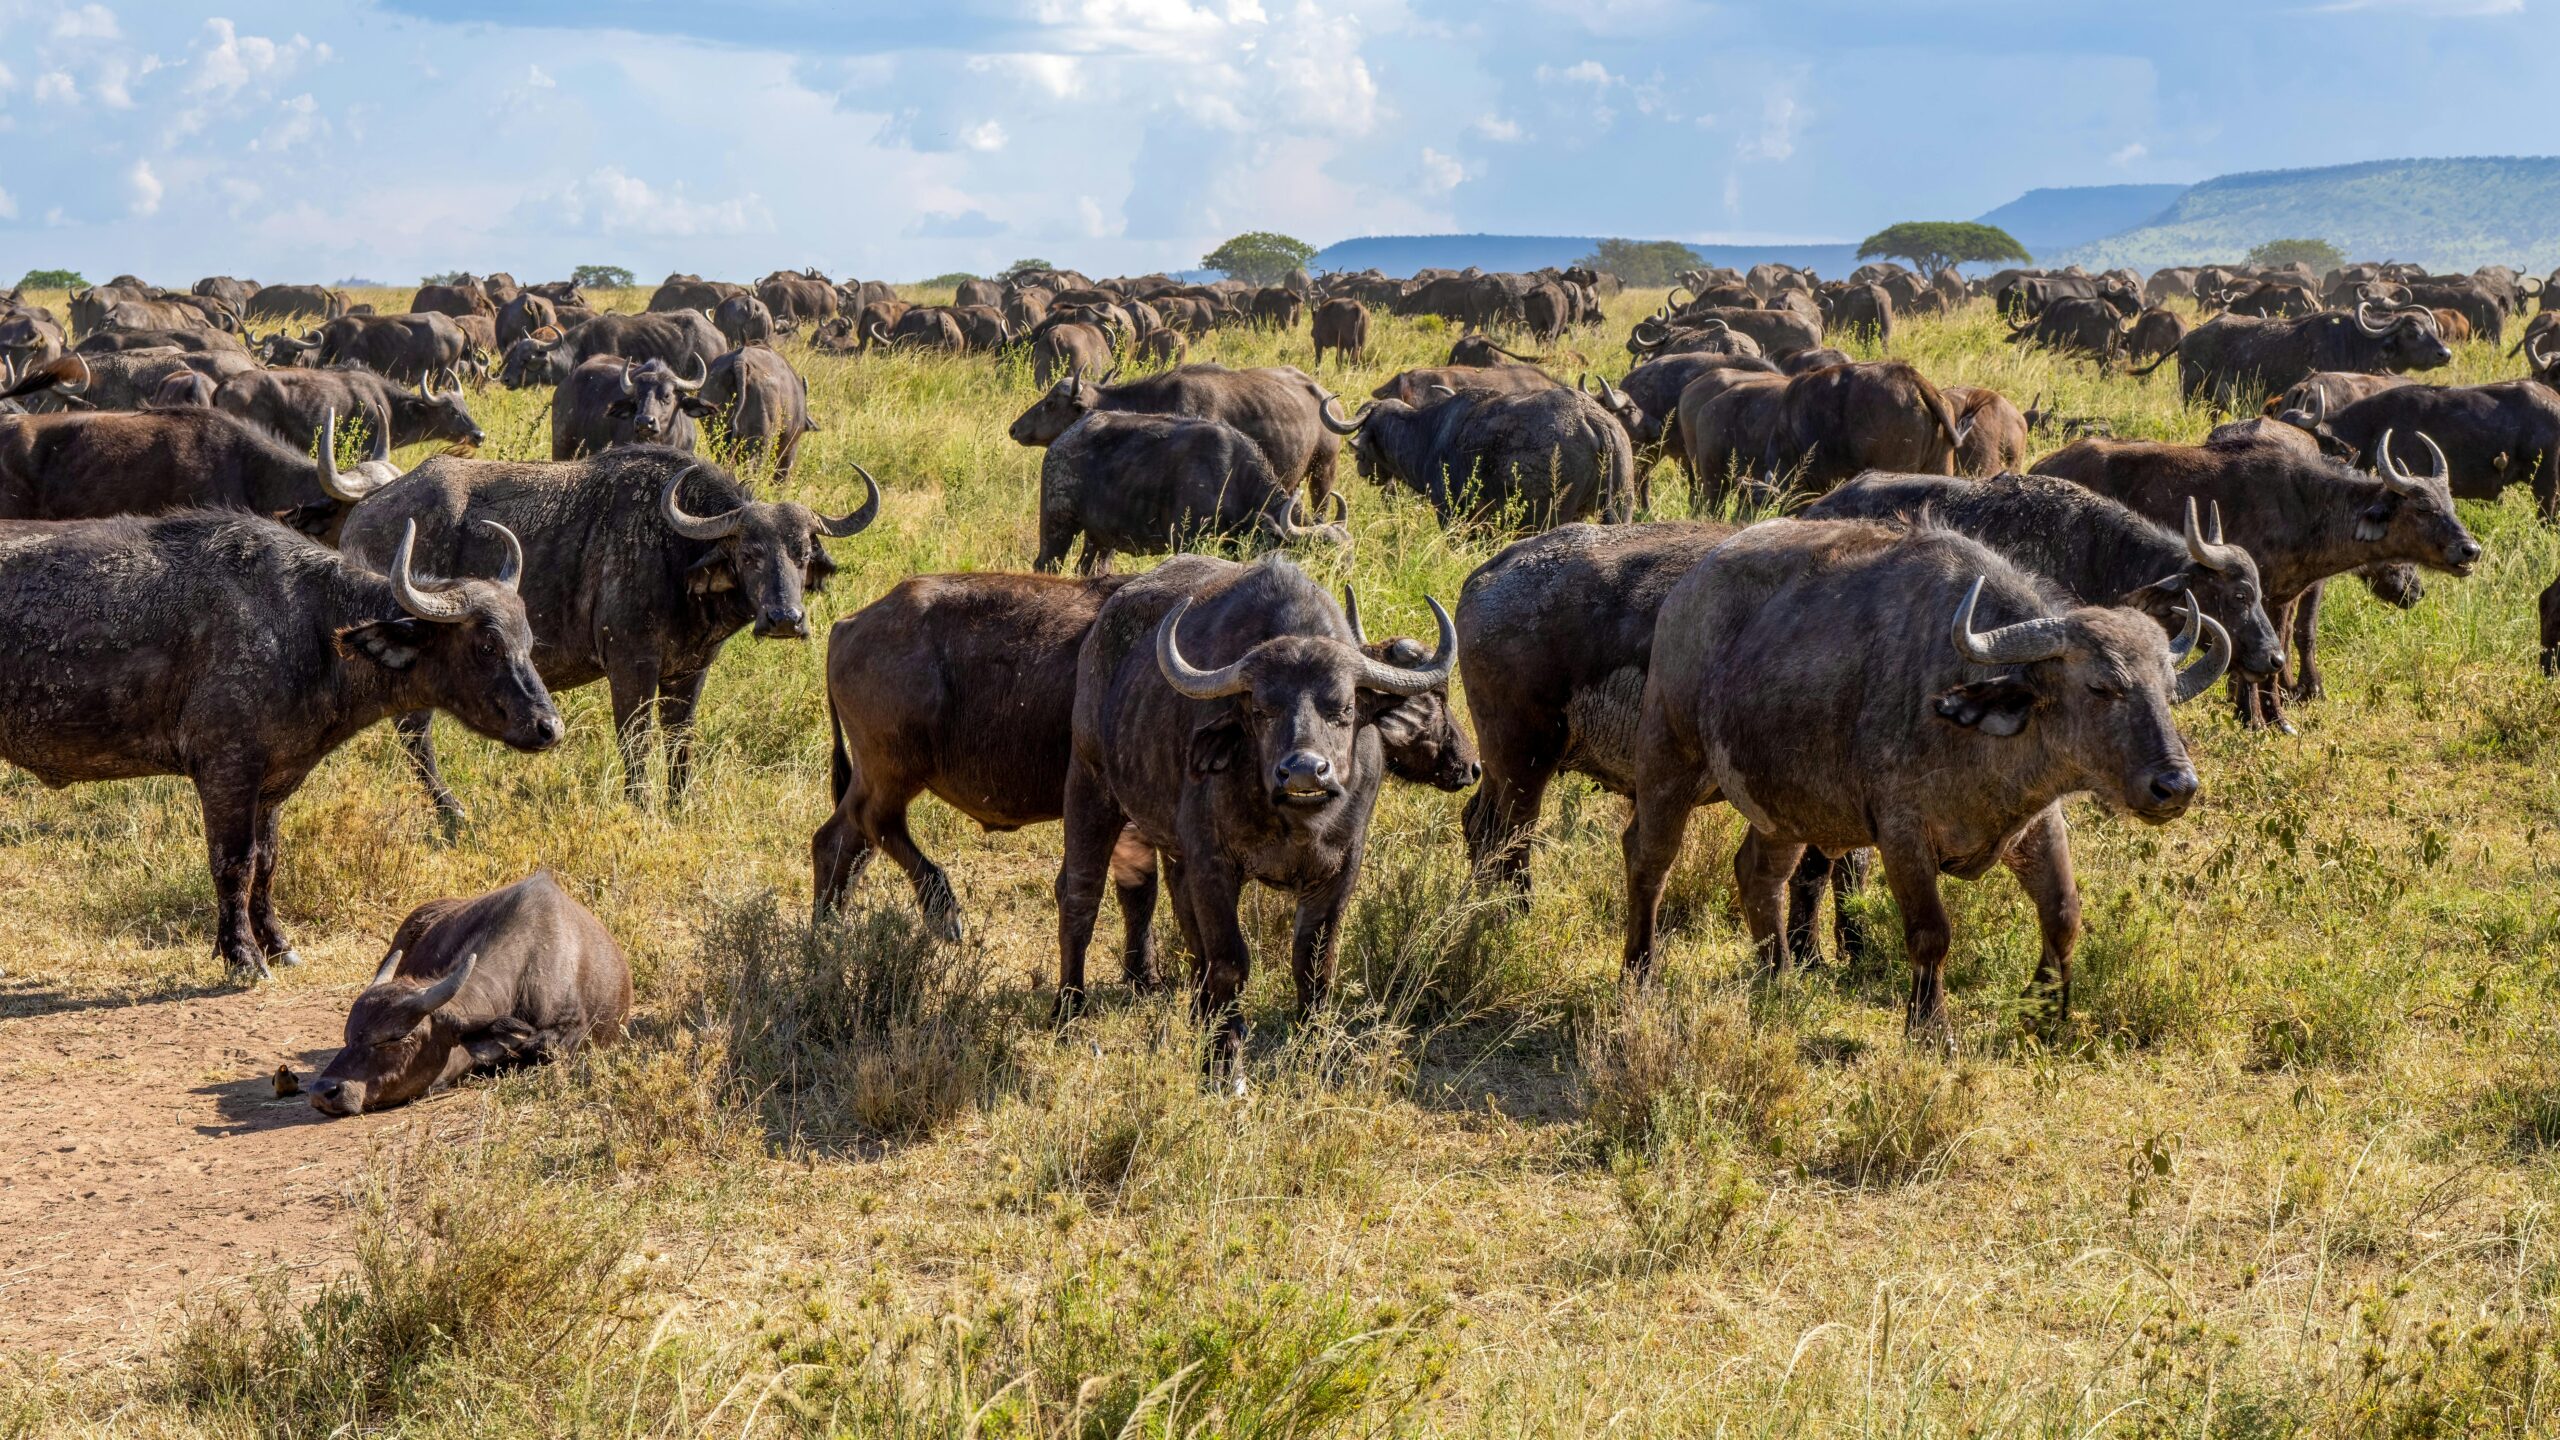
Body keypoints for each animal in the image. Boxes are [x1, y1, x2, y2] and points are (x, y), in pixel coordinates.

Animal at [340, 448, 885, 809]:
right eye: (749, 553)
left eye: (802, 554)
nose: (784, 619)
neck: (673, 553)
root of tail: (364, 511)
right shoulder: (630, 666)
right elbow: (636, 741)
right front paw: (641, 806)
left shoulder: (690, 670)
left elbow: (680, 741)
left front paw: (679, 806)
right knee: (415, 733)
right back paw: (450, 810)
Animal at [1029, 409, 1351, 571]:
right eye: (1322, 558)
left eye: (1349, 558)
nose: (1342, 580)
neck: (1232, 476)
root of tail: (1062, 440)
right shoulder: (1187, 542)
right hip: (1058, 524)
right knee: (1047, 564)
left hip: (1101, 538)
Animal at [1059, 558, 1464, 1076]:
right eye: (1261, 709)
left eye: (1344, 707)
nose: (1305, 771)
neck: (1295, 822)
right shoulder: (1213, 863)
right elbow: (1230, 958)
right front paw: (1224, 1057)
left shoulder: (1341, 867)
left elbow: (1314, 962)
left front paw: (1315, 1049)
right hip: (1090, 784)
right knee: (1080, 896)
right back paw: (1068, 1012)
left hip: (1170, 844)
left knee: (1179, 913)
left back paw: (1197, 1012)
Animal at [1628, 515, 2232, 1030]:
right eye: (2102, 687)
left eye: (2166, 690)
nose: (2176, 786)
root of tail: (1685, 591)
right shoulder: (1902, 834)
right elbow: (1930, 933)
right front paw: (1928, 1025)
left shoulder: (2038, 822)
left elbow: (2063, 915)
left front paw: (2043, 1012)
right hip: (1669, 762)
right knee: (1649, 858)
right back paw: (1640, 971)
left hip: (1781, 806)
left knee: (1758, 873)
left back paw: (1776, 976)